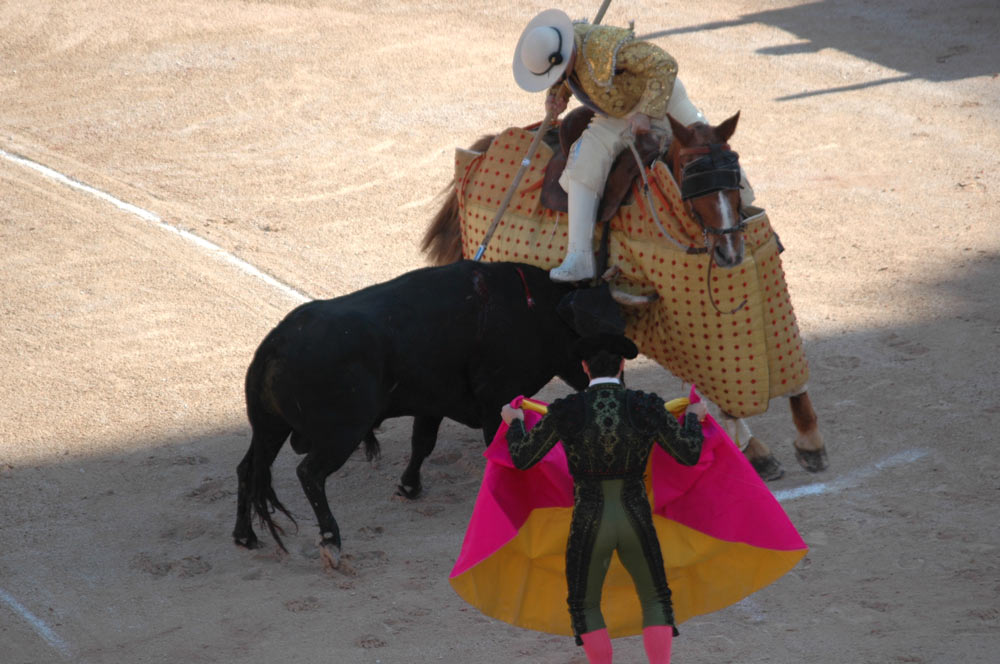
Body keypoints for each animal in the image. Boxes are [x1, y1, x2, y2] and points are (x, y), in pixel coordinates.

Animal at [422, 111, 828, 480]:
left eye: (735, 173)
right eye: (690, 174)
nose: (731, 252)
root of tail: (483, 148)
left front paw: (806, 443)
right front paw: (765, 448)